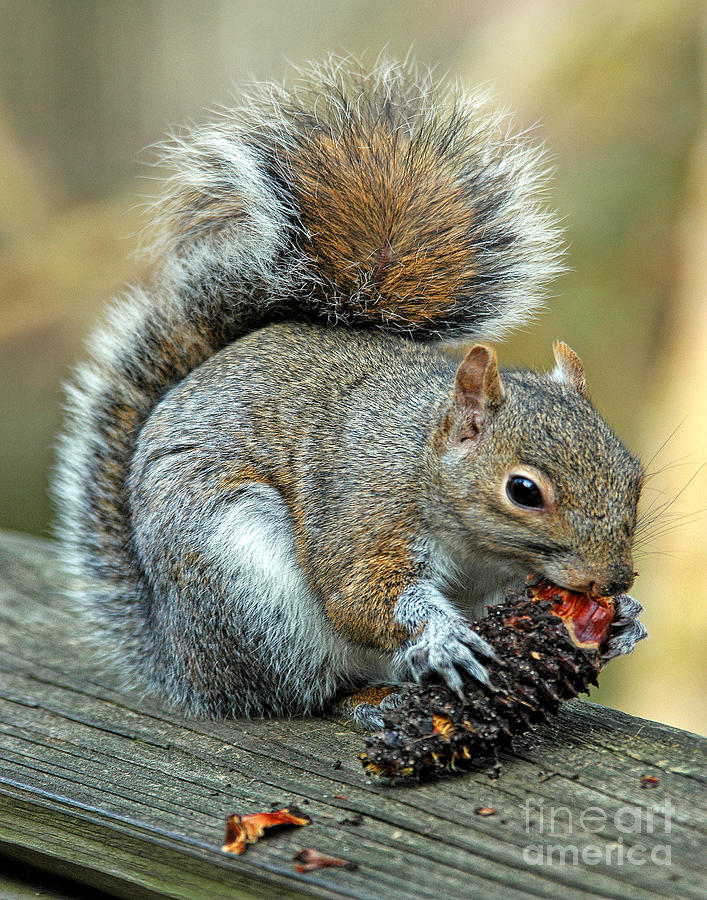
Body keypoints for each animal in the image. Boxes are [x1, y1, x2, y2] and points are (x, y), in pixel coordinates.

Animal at [54, 58, 647, 728]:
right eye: (524, 491)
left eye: (634, 475)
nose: (615, 582)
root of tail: (183, 661)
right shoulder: (365, 512)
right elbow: (359, 598)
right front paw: (441, 636)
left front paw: (626, 623)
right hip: (246, 588)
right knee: (309, 690)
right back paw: (379, 694)